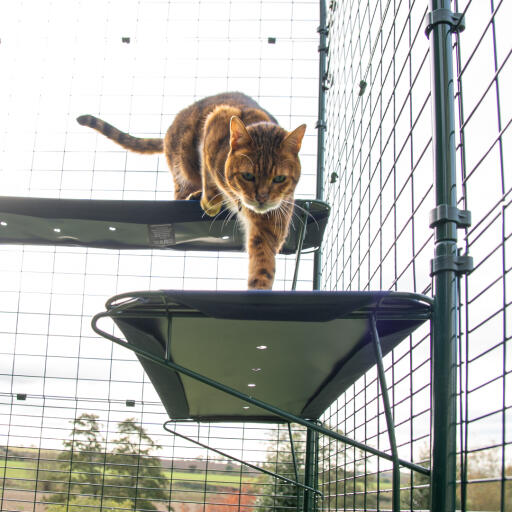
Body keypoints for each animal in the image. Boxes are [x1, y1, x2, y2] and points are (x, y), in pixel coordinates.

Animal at [78, 92, 306, 290]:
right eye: (248, 175)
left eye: (279, 178)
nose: (261, 198)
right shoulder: (215, 123)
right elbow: (210, 178)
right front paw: (210, 202)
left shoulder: (270, 226)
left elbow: (263, 268)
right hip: (183, 162)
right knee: (182, 188)